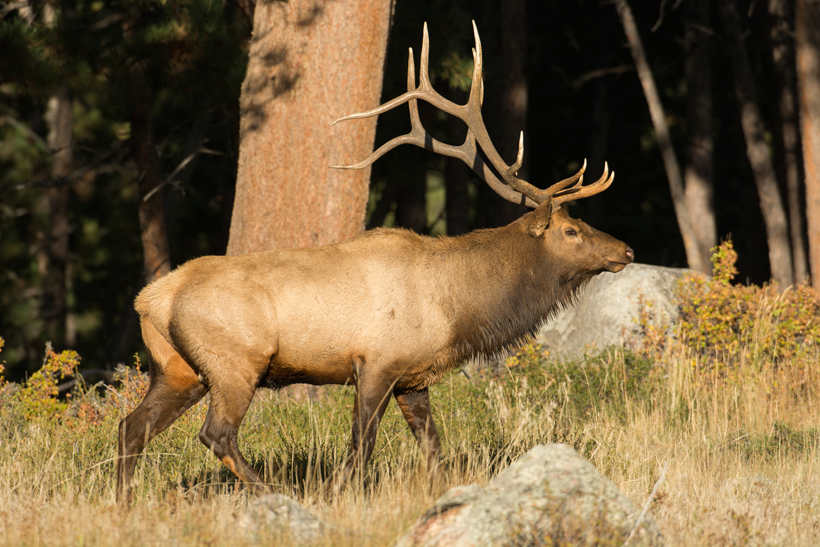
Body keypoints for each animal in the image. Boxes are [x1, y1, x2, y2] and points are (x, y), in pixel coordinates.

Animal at [116, 22, 634, 505]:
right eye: (571, 230)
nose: (626, 250)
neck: (455, 308)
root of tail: (151, 299)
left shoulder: (413, 377)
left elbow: (433, 446)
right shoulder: (376, 362)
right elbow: (361, 446)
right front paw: (337, 494)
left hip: (178, 369)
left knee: (131, 426)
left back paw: (124, 502)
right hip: (235, 362)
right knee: (216, 434)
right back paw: (275, 492)